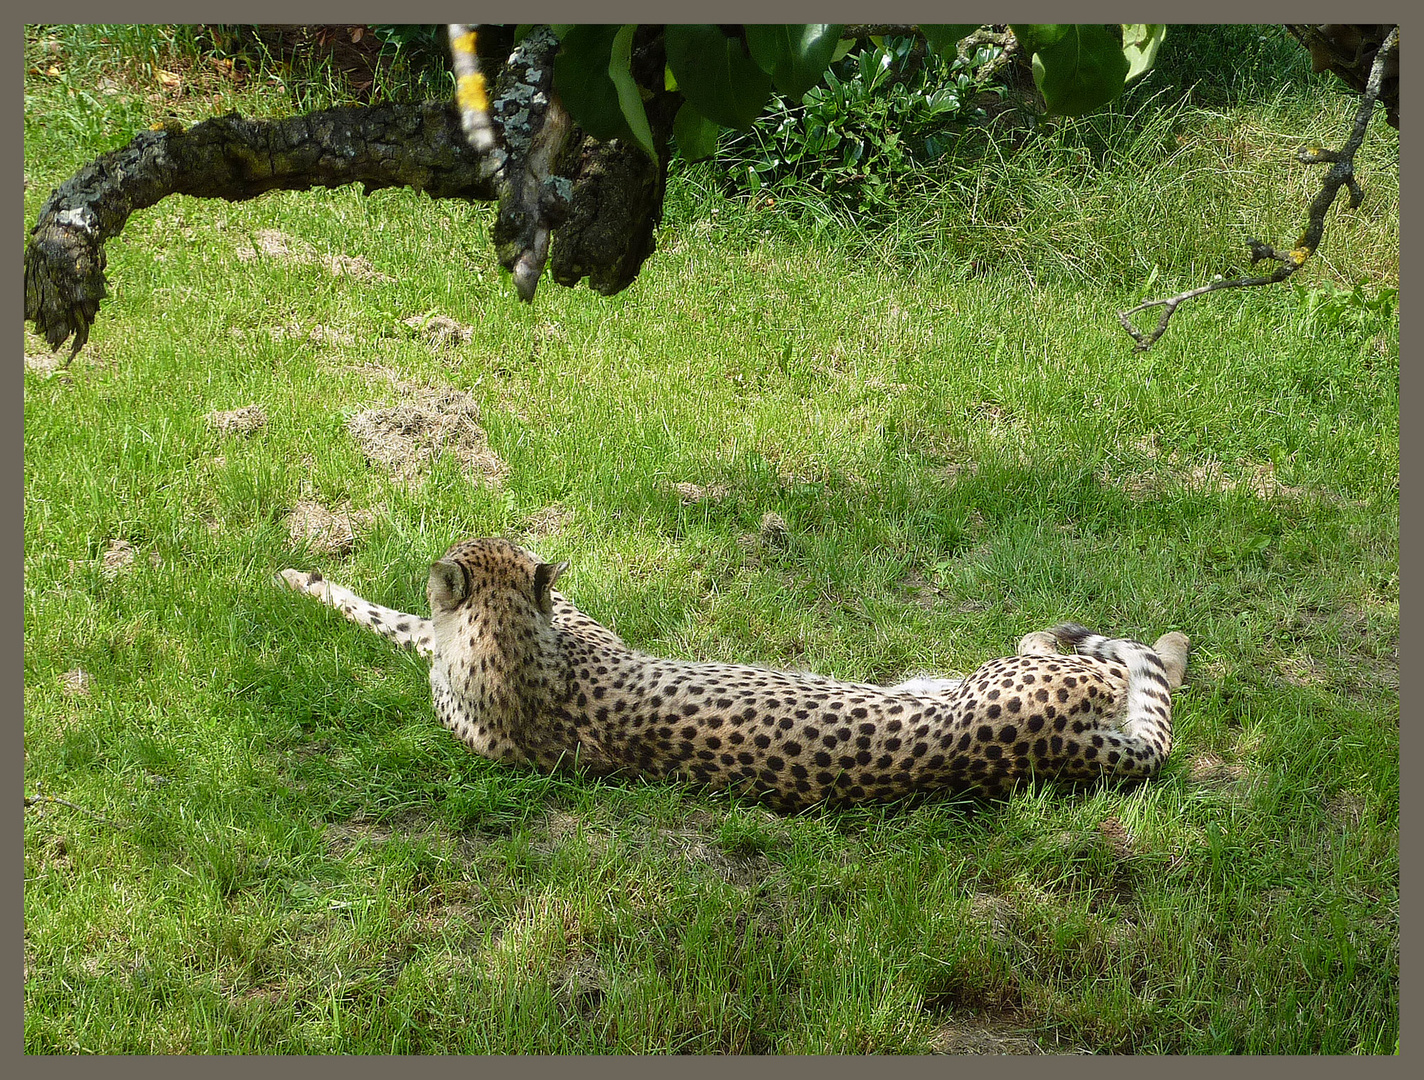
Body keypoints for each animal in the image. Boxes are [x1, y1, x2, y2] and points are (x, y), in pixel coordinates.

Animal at [277, 538, 1190, 809]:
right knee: (1105, 665)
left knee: (1095, 661)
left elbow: (399, 622)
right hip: (1019, 684)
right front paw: (306, 581)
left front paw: (301, 578)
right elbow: (400, 625)